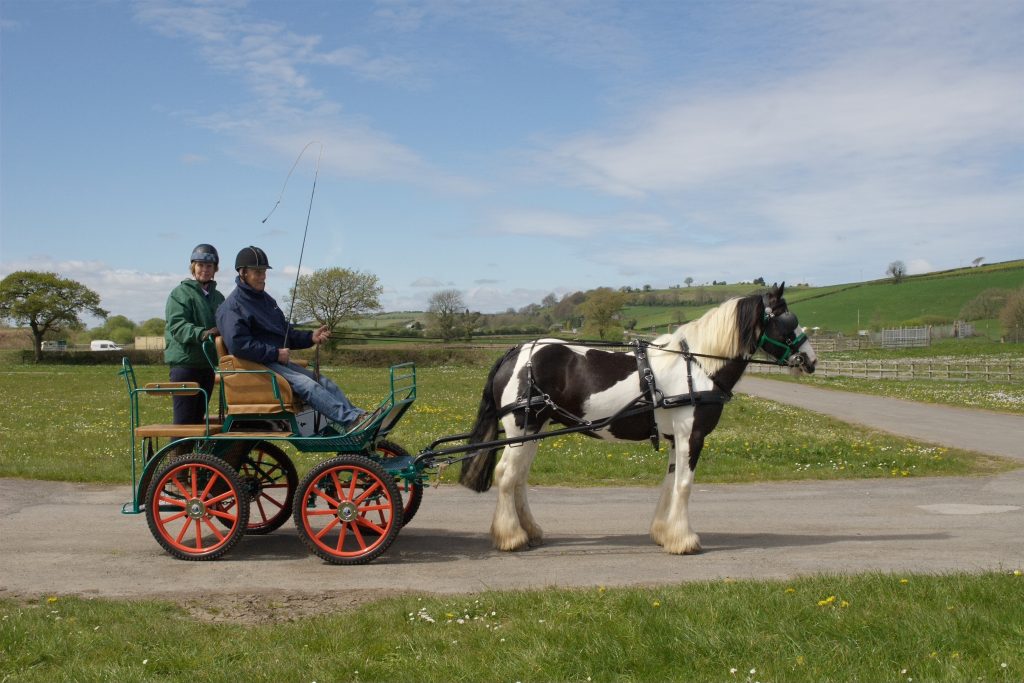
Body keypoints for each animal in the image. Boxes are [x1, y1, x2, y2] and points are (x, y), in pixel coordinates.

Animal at [458, 282, 817, 554]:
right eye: (788, 319)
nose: (811, 360)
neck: (697, 366)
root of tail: (517, 351)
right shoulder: (692, 435)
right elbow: (685, 485)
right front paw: (685, 540)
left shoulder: (675, 438)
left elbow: (669, 484)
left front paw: (665, 533)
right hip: (523, 427)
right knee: (506, 475)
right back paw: (511, 537)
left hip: (534, 430)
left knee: (519, 478)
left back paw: (530, 530)